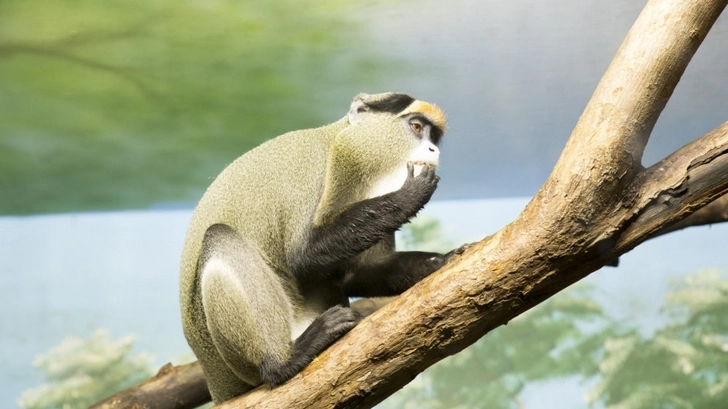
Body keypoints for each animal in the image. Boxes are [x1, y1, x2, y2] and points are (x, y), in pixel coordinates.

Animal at [179, 92, 466, 403]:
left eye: (433, 137)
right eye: (416, 127)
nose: (432, 149)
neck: (344, 149)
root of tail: (216, 384)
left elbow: (361, 273)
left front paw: (443, 261)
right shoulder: (310, 170)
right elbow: (301, 256)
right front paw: (409, 196)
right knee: (219, 237)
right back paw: (283, 362)